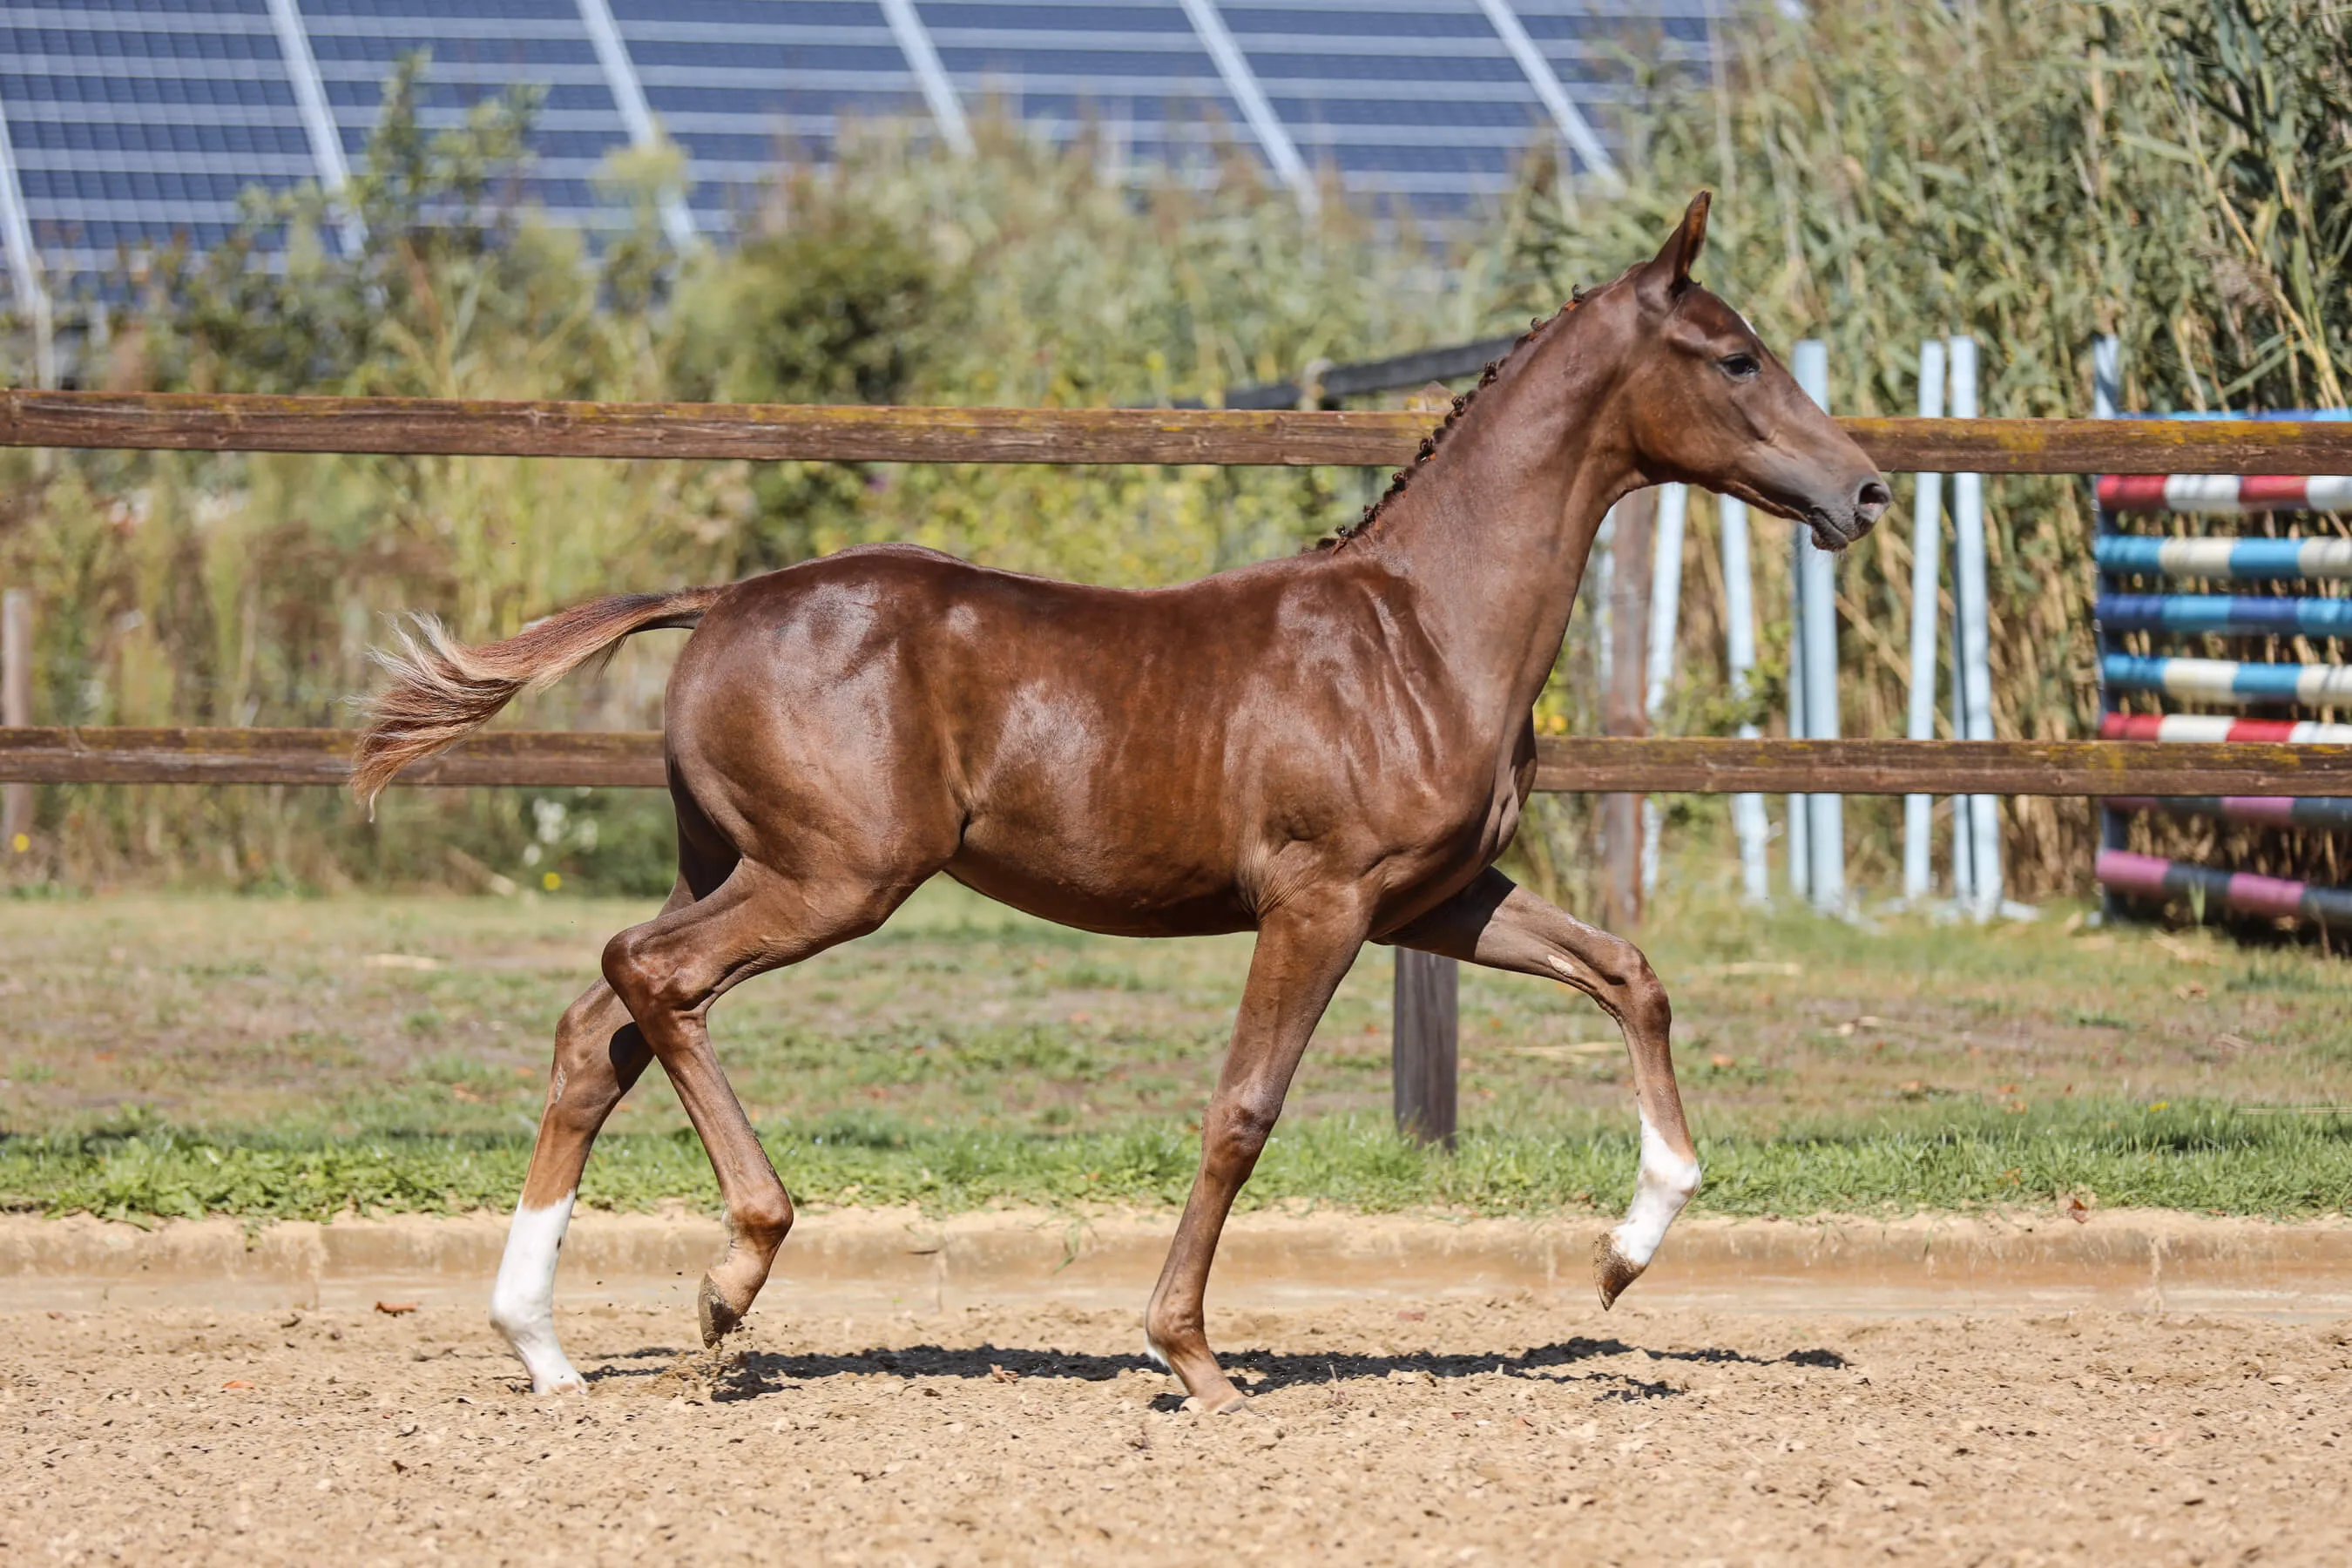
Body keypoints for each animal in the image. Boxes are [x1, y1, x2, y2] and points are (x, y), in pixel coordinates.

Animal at [352, 192, 1887, 1413]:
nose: (1866, 490)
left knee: (594, 1028)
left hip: (731, 862)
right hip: (833, 878)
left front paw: (1628, 1253)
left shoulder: (1433, 902)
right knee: (650, 978)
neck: (1421, 630)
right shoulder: (1320, 901)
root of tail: (722, 599)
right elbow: (1243, 1111)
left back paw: (544, 1346)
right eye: (1736, 356)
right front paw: (1192, 1356)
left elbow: (1628, 973)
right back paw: (735, 1266)